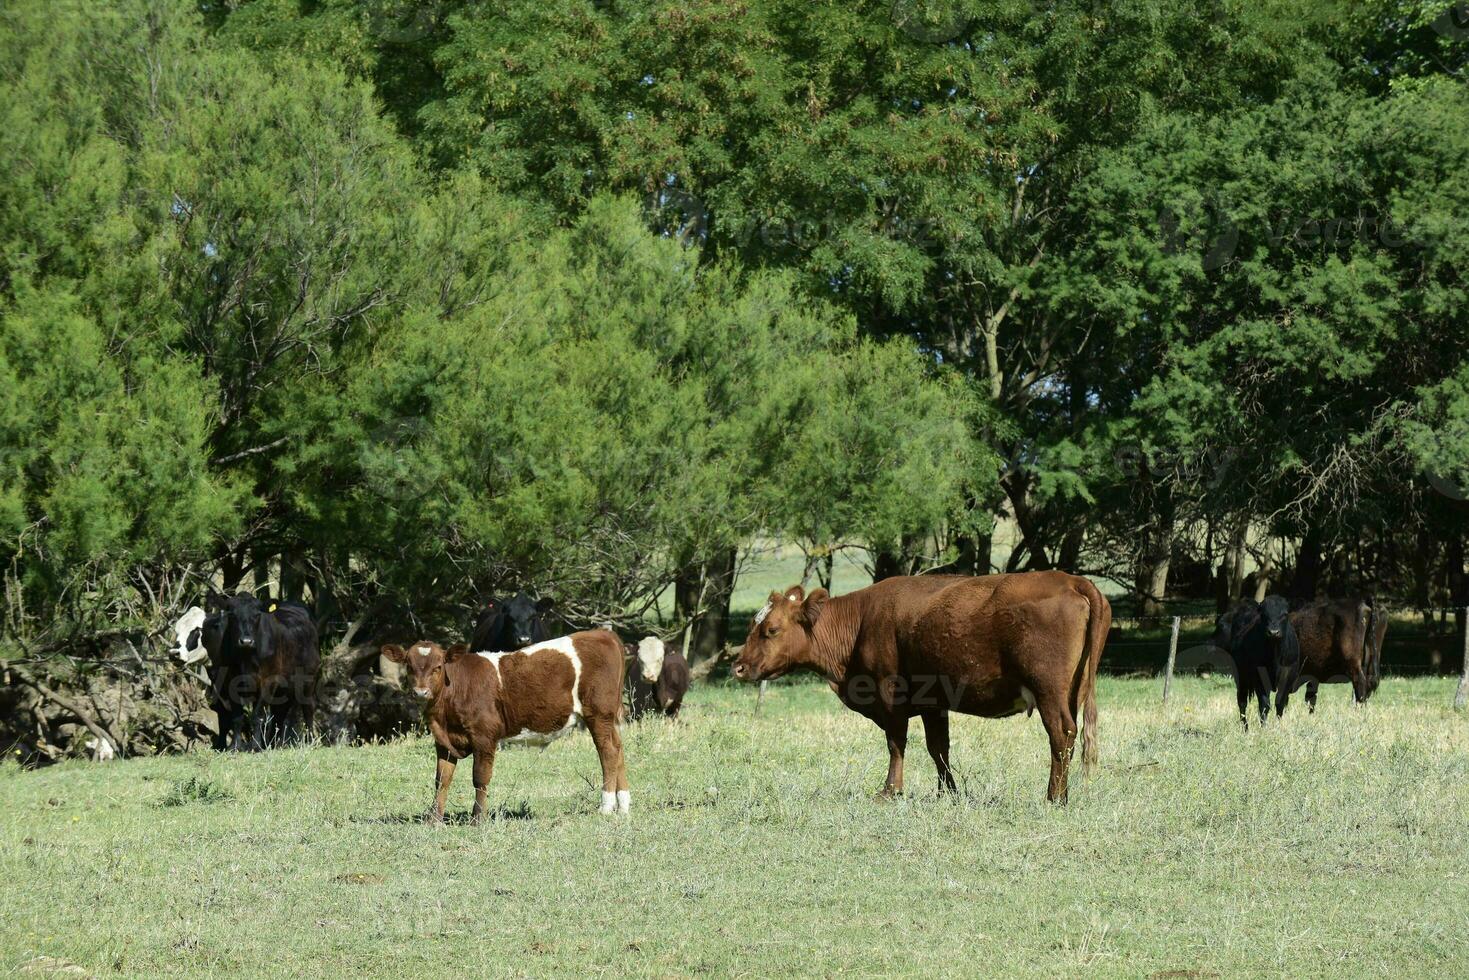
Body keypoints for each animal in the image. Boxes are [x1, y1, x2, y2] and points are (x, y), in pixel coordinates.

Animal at [207, 590, 318, 752]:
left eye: (257, 614)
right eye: (232, 614)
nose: (246, 641)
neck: (245, 659)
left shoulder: (267, 681)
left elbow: (257, 716)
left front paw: (255, 746)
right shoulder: (229, 681)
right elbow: (237, 717)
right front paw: (235, 746)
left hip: (308, 680)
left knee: (307, 709)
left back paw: (309, 741)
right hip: (284, 688)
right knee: (279, 714)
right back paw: (273, 744)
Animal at [381, 631, 628, 822]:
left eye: (438, 666)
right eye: (409, 666)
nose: (421, 692)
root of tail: (603, 633)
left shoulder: (484, 736)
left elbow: (480, 777)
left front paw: (478, 819)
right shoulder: (443, 741)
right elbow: (442, 779)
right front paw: (434, 820)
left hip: (599, 714)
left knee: (607, 752)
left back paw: (606, 807)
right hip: (609, 719)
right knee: (619, 750)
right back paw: (623, 805)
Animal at [728, 575, 1104, 805]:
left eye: (771, 629)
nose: (739, 666)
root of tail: (1071, 579)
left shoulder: (889, 694)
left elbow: (896, 744)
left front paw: (890, 791)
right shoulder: (932, 702)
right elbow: (939, 749)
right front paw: (947, 793)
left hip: (1048, 690)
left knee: (1061, 735)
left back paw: (1053, 797)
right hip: (1073, 689)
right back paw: (1063, 794)